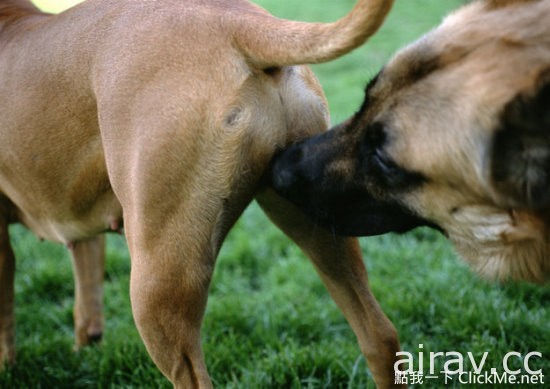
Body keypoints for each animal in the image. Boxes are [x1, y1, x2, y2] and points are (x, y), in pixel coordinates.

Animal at [0, 0, 406, 386]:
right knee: (379, 335)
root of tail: (235, 20)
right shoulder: (79, 227)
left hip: (157, 281)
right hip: (317, 222)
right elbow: (86, 301)